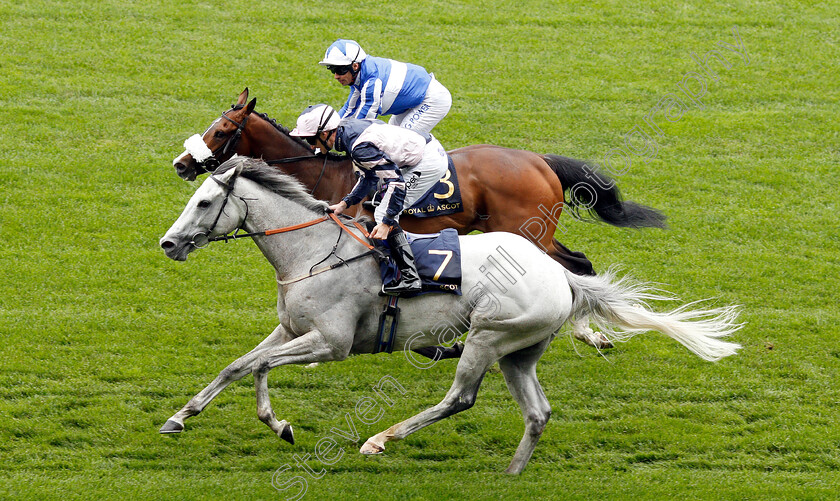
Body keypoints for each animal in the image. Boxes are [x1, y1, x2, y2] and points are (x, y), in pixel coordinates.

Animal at [159, 158, 740, 474]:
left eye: (205, 202)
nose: (168, 243)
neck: (312, 252)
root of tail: (560, 279)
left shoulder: (332, 342)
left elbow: (259, 368)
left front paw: (279, 424)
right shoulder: (291, 328)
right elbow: (237, 366)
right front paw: (180, 417)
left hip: (488, 337)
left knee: (459, 398)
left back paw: (381, 438)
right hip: (519, 353)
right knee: (538, 413)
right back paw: (511, 474)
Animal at [172, 89, 668, 348]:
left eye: (222, 129)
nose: (181, 164)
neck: (323, 171)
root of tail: (540, 160)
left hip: (528, 231)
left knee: (575, 266)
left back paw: (589, 331)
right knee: (577, 263)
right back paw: (590, 330)